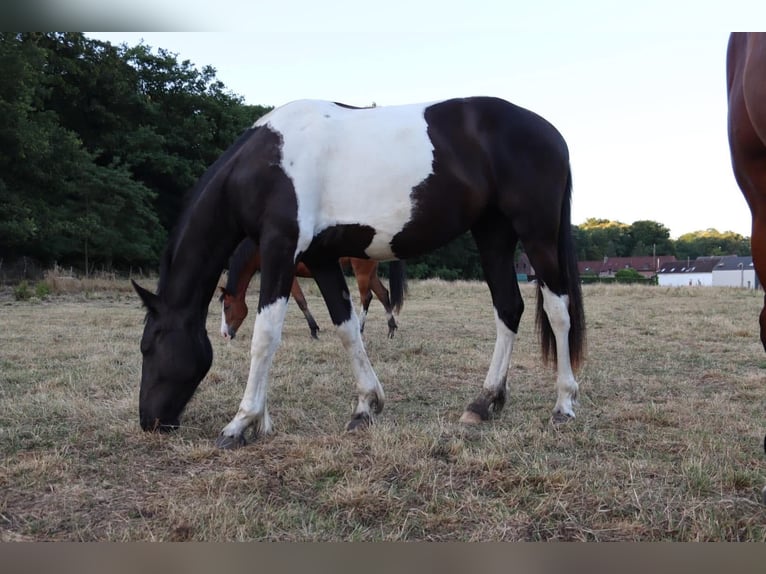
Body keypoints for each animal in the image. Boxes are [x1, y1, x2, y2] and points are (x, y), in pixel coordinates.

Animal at [219, 238, 404, 342]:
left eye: (226, 307)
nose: (225, 334)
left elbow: (300, 301)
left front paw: (313, 330)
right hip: (370, 274)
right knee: (383, 294)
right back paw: (391, 329)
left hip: (362, 272)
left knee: (367, 297)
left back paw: (360, 329)